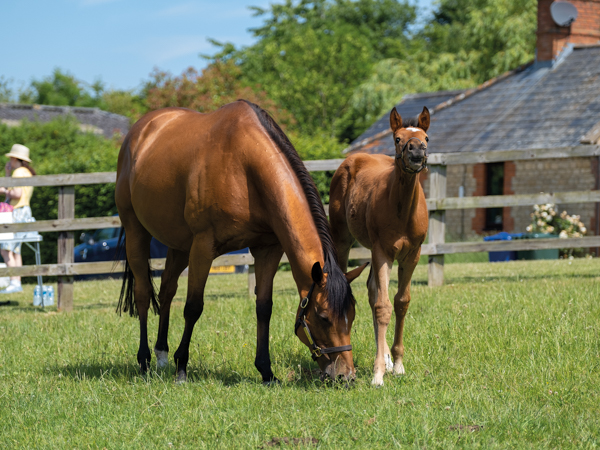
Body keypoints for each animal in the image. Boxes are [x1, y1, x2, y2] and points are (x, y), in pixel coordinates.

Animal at [328, 107, 432, 384]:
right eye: (397, 139)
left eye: (427, 138)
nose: (416, 154)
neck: (402, 210)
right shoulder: (382, 251)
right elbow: (383, 306)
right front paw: (377, 375)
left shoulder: (412, 254)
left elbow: (401, 302)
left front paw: (396, 363)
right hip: (343, 239)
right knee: (362, 289)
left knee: (372, 289)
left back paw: (386, 359)